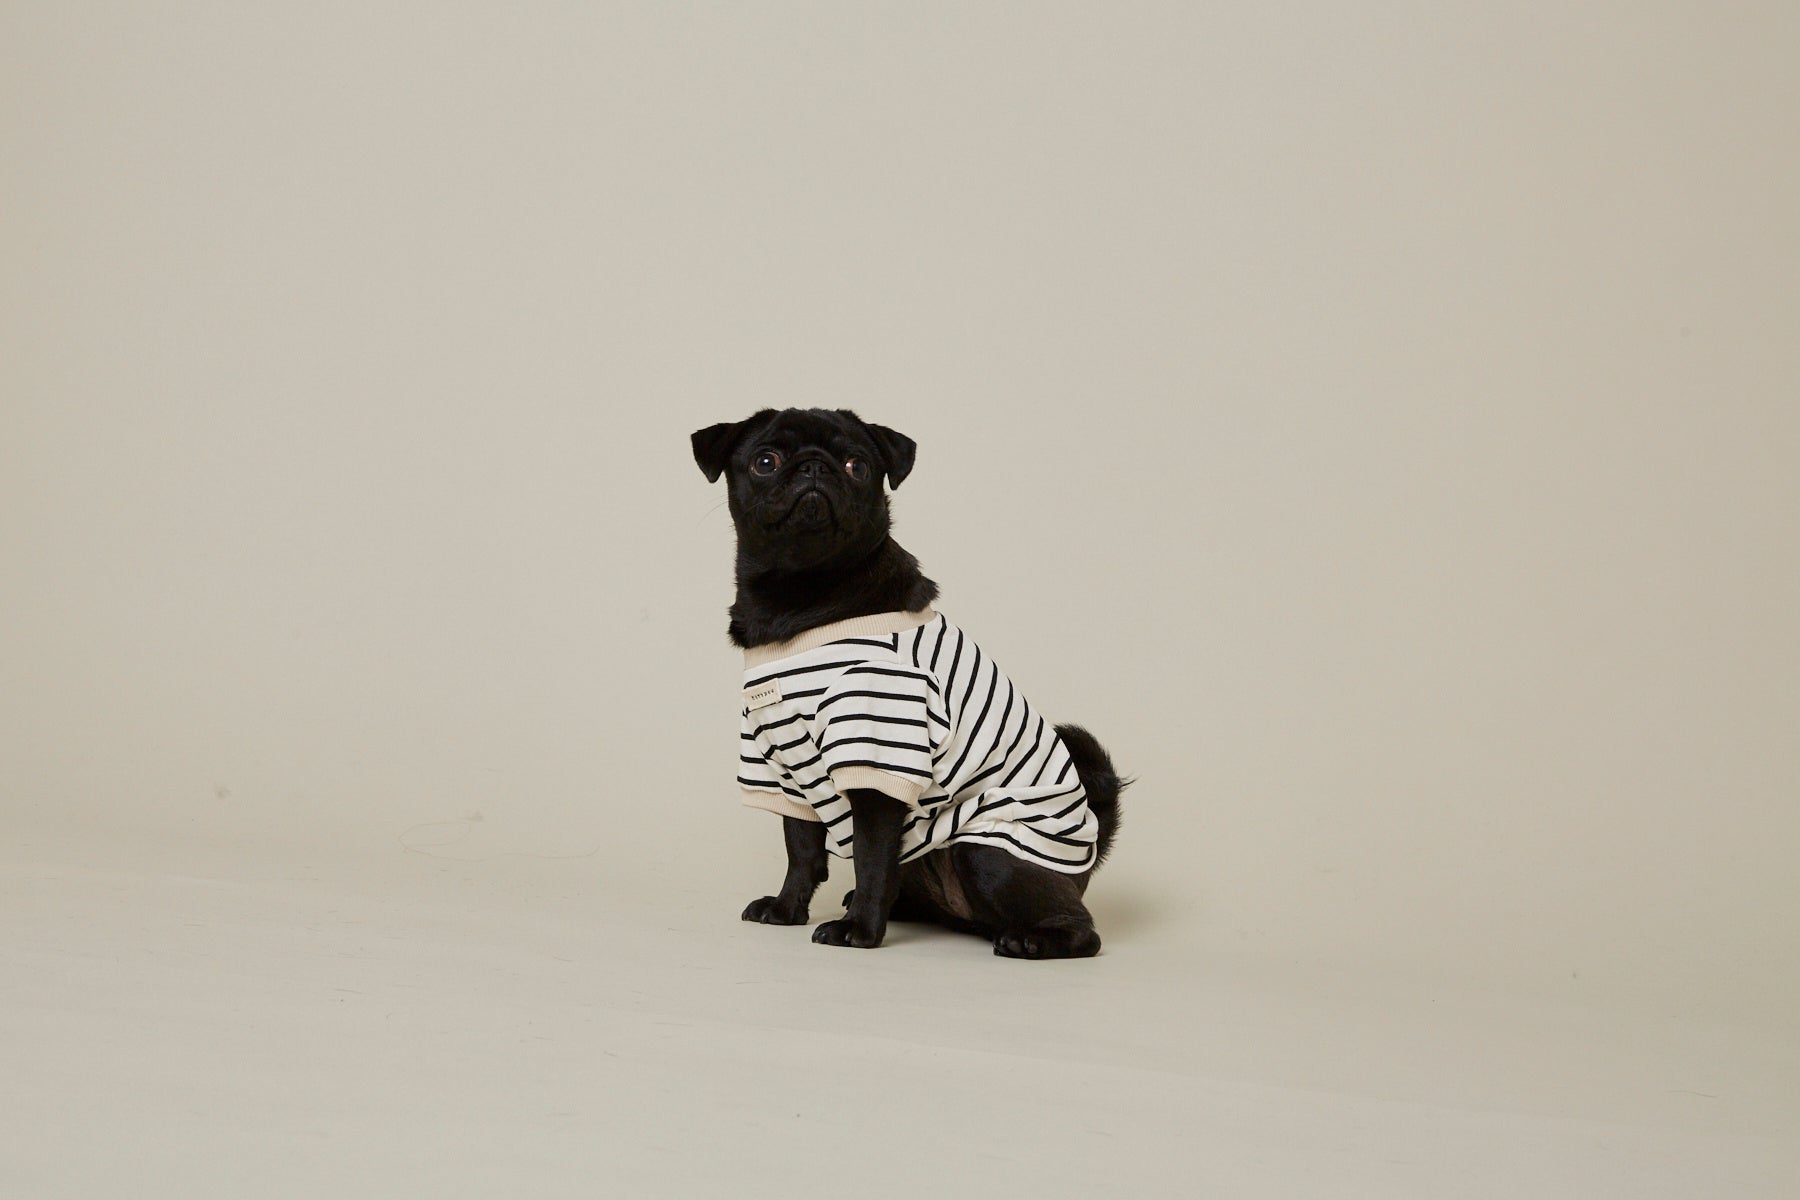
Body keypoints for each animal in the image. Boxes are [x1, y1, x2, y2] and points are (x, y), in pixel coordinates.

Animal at [691, 407, 1127, 958]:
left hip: (987, 849)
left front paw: (859, 931)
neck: (800, 596)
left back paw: (1032, 939)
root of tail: (1088, 859)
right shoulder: (781, 759)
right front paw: (788, 908)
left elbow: (871, 857)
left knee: (1080, 927)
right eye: (765, 462)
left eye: (857, 466)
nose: (814, 467)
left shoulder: (877, 754)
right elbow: (802, 847)